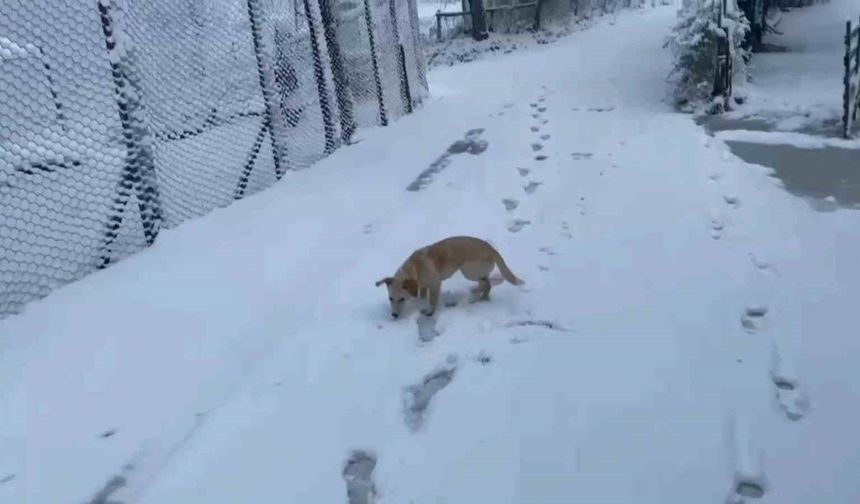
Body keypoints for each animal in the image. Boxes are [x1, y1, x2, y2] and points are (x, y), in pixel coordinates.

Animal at [376, 236, 524, 318]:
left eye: (402, 299)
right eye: (390, 299)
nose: (394, 315)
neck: (416, 267)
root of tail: (493, 250)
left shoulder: (435, 285)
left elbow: (432, 302)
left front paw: (429, 311)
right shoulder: (422, 285)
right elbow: (422, 294)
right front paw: (420, 301)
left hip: (468, 271)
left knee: (485, 283)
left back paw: (475, 292)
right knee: (487, 283)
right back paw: (482, 297)